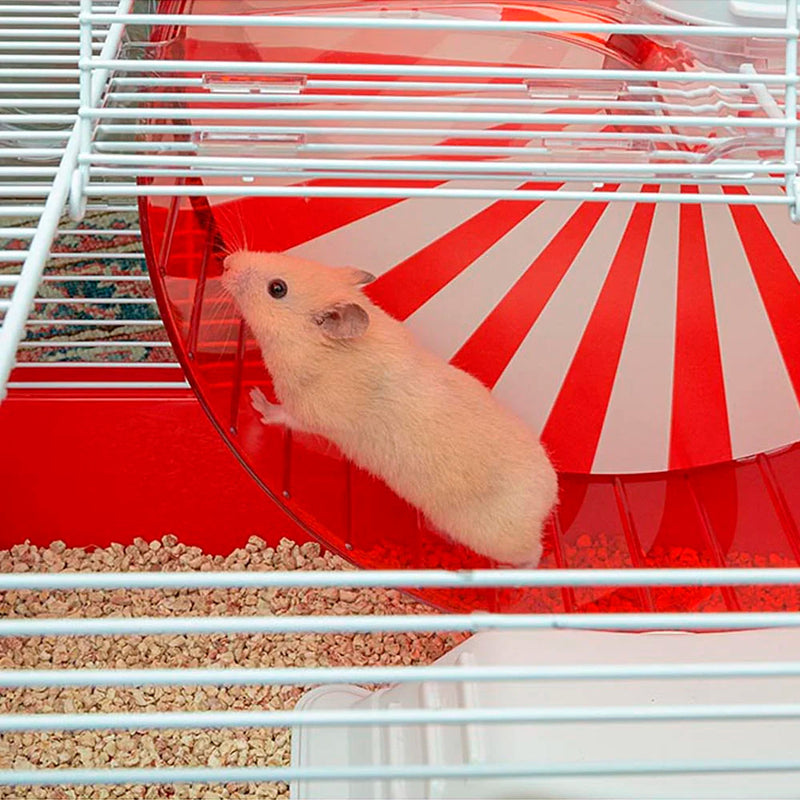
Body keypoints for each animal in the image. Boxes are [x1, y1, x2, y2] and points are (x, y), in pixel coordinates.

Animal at [222, 250, 558, 567]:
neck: (319, 347)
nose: (226, 262)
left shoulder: (310, 410)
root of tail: (549, 500)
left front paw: (255, 399)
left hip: (495, 537)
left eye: (277, 289)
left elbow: (283, 416)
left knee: (534, 553)